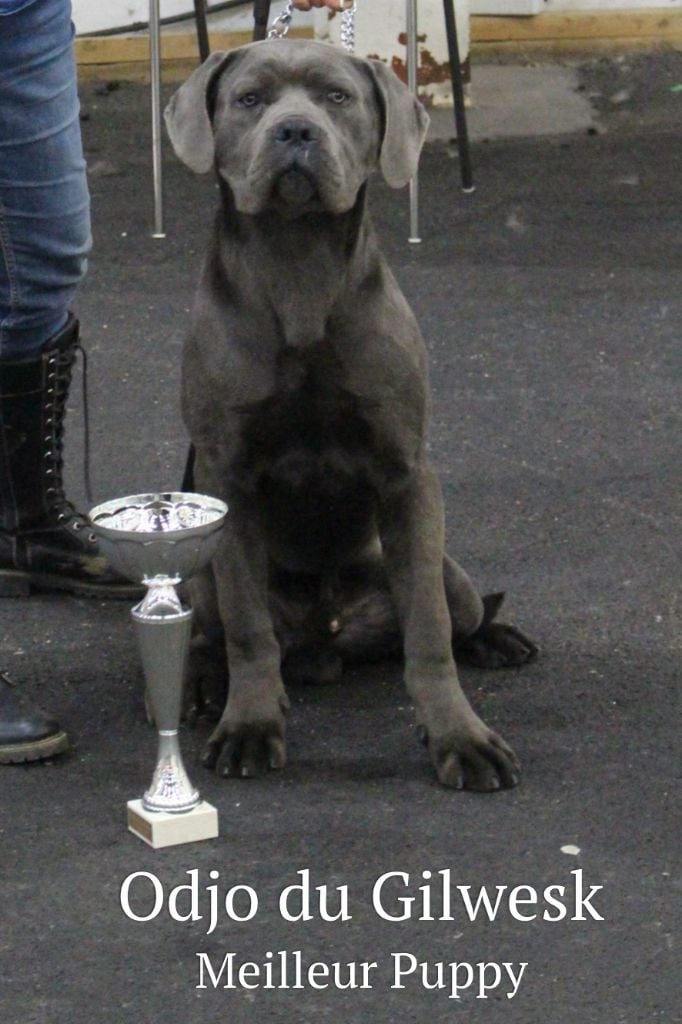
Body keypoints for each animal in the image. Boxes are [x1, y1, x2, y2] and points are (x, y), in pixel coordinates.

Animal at [164, 37, 536, 790]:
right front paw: (249, 726)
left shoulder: (405, 474)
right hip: (197, 565)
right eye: (250, 99)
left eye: (336, 97)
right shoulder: (227, 480)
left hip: (450, 572)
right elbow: (248, 626)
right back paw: (202, 683)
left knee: (461, 614)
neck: (298, 267)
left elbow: (427, 635)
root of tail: (326, 638)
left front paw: (460, 738)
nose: (294, 132)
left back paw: (497, 638)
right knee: (215, 629)